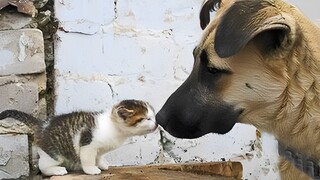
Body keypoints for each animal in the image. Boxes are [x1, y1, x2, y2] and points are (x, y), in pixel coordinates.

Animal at [0, 100, 158, 176]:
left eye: (153, 116)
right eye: (146, 119)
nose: (157, 124)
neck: (113, 127)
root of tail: (43, 124)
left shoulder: (100, 149)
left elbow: (99, 156)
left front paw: (101, 164)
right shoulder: (87, 143)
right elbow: (87, 159)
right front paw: (91, 170)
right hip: (54, 153)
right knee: (43, 166)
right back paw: (56, 171)